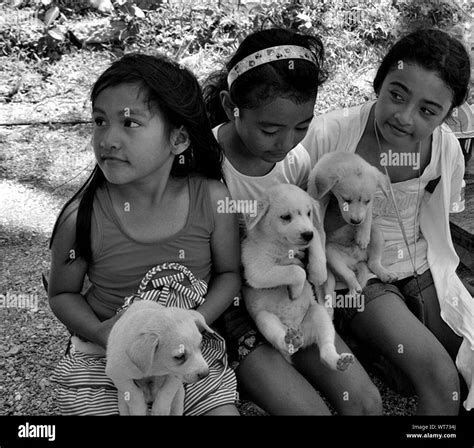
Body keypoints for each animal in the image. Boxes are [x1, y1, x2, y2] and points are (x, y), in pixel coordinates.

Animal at [243, 183, 354, 372]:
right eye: (286, 217)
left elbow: (316, 243)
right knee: (280, 340)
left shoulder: (313, 233)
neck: (283, 245)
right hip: (264, 319)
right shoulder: (256, 270)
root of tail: (295, 327)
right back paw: (289, 340)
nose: (306, 234)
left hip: (318, 314)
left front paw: (318, 274)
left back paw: (339, 361)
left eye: (309, 213)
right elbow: (296, 270)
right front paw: (296, 291)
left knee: (325, 349)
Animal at [310, 152, 398, 300]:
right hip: (332, 254)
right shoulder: (319, 198)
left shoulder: (368, 208)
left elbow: (367, 216)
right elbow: (318, 224)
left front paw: (362, 237)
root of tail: (356, 260)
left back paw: (385, 274)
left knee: (373, 262)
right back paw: (353, 290)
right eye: (346, 199)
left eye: (367, 201)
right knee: (349, 275)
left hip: (377, 233)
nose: (356, 221)